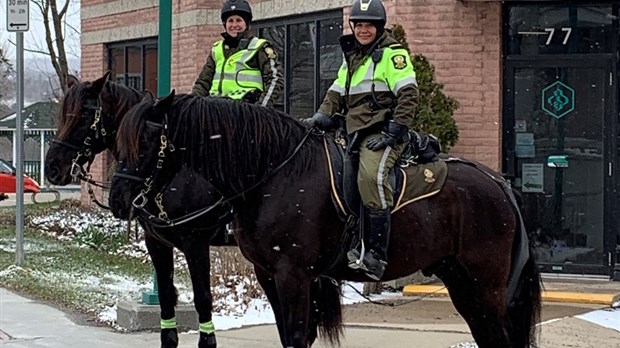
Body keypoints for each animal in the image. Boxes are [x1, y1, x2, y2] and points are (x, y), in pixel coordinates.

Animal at [44, 73, 231, 348]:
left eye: (84, 114)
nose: (52, 168)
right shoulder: (156, 241)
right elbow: (166, 297)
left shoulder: (196, 242)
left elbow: (203, 299)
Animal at [109, 90, 540, 348]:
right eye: (117, 141)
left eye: (145, 143)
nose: (118, 200)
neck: (275, 172)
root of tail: (498, 182)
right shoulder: (267, 274)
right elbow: (288, 335)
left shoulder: (291, 274)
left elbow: (296, 335)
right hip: (461, 281)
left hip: (486, 285)